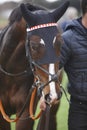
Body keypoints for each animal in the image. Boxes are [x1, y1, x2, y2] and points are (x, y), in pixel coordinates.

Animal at [0, 1, 69, 130]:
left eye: (60, 43)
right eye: (33, 46)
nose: (52, 94)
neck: (12, 74)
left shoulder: (26, 115)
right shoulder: (2, 115)